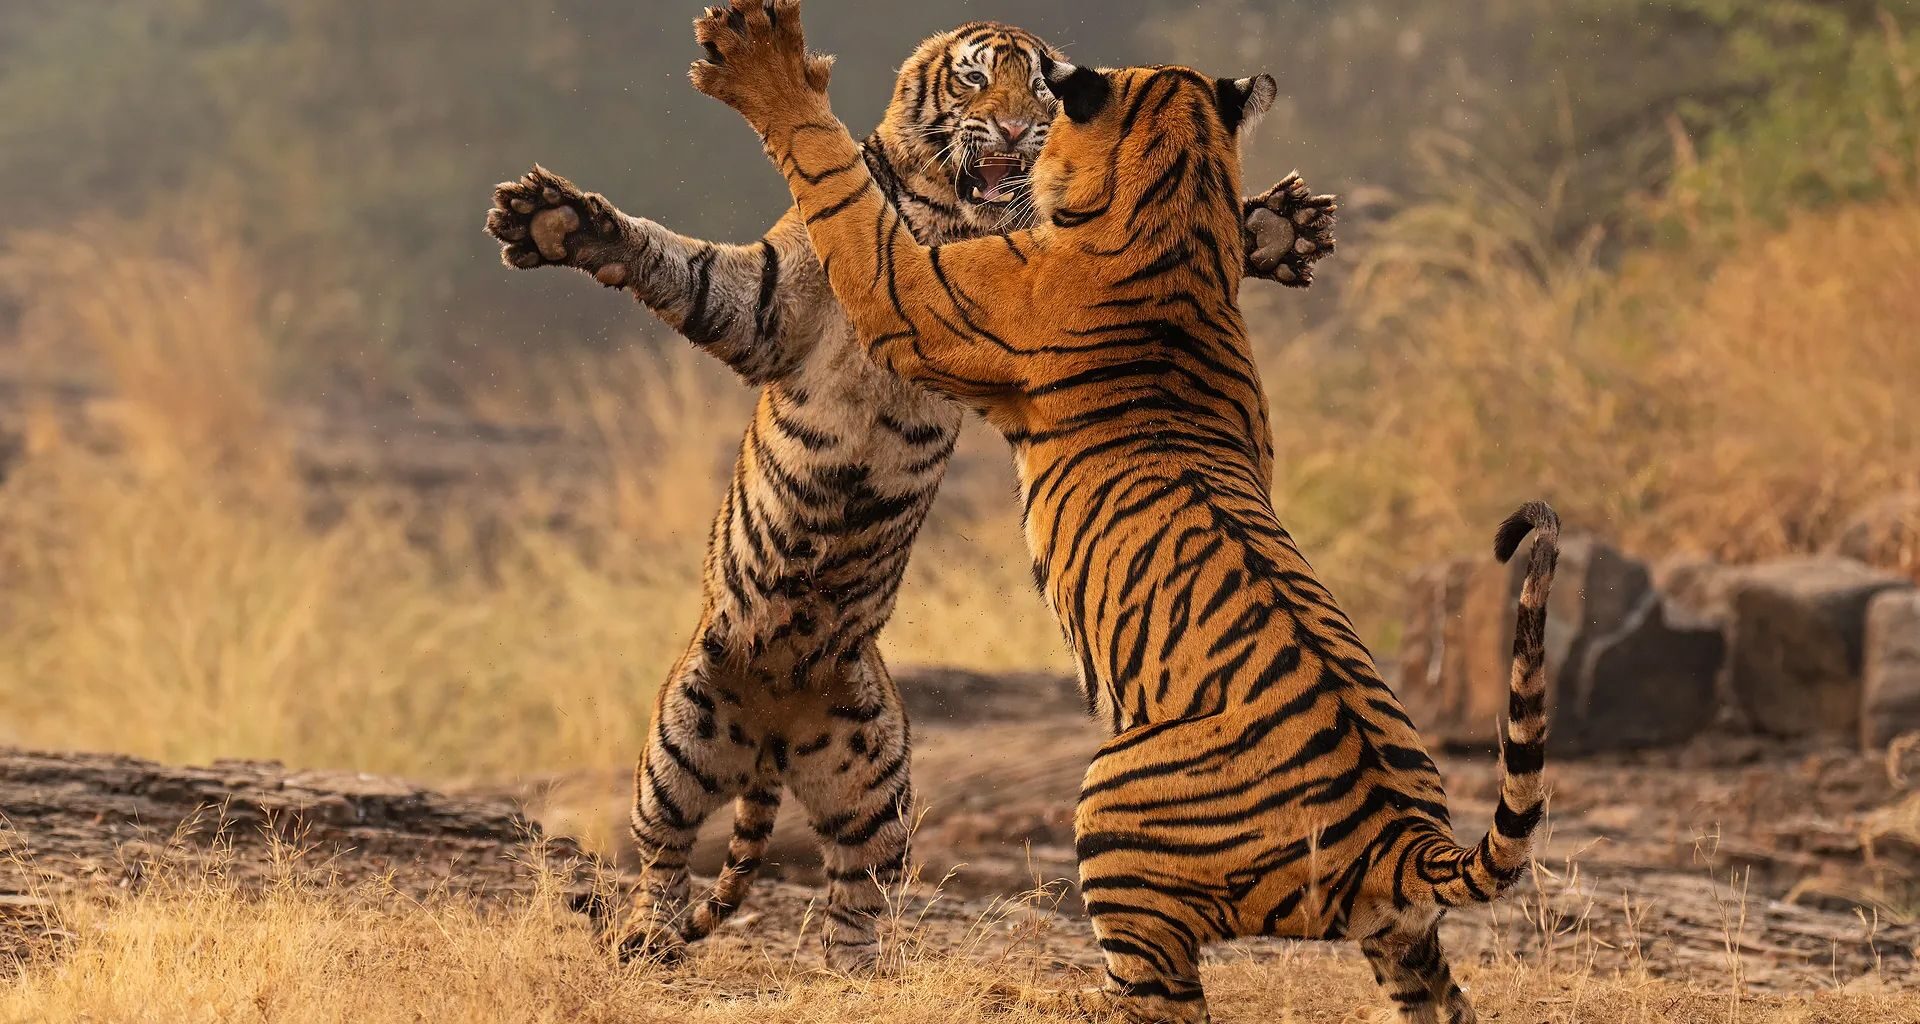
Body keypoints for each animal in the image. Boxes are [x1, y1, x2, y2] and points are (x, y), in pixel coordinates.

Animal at [483, 21, 1337, 973]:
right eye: (974, 82)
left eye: (1038, 92)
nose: (1015, 132)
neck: (948, 213)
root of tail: (773, 729)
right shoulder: (771, 308)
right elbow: (683, 265)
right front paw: (554, 220)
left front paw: (1274, 226)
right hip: (683, 731)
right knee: (661, 853)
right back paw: (645, 934)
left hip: (875, 770)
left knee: (857, 887)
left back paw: (857, 973)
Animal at [686, 2, 1560, 1021]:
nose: (1015, 127)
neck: (1179, 207)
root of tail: (1401, 836)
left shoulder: (920, 296)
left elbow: (841, 191)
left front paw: (766, 66)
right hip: (1401, 939)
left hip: (1111, 813)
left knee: (1161, 994)